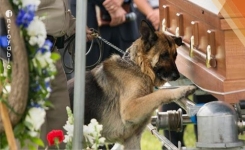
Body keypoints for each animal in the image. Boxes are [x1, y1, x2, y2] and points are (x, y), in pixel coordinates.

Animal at [67, 20, 197, 149]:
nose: (177, 76)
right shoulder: (130, 109)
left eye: (175, 56)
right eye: (164, 55)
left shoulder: (132, 138)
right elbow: (160, 93)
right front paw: (184, 89)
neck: (138, 67)